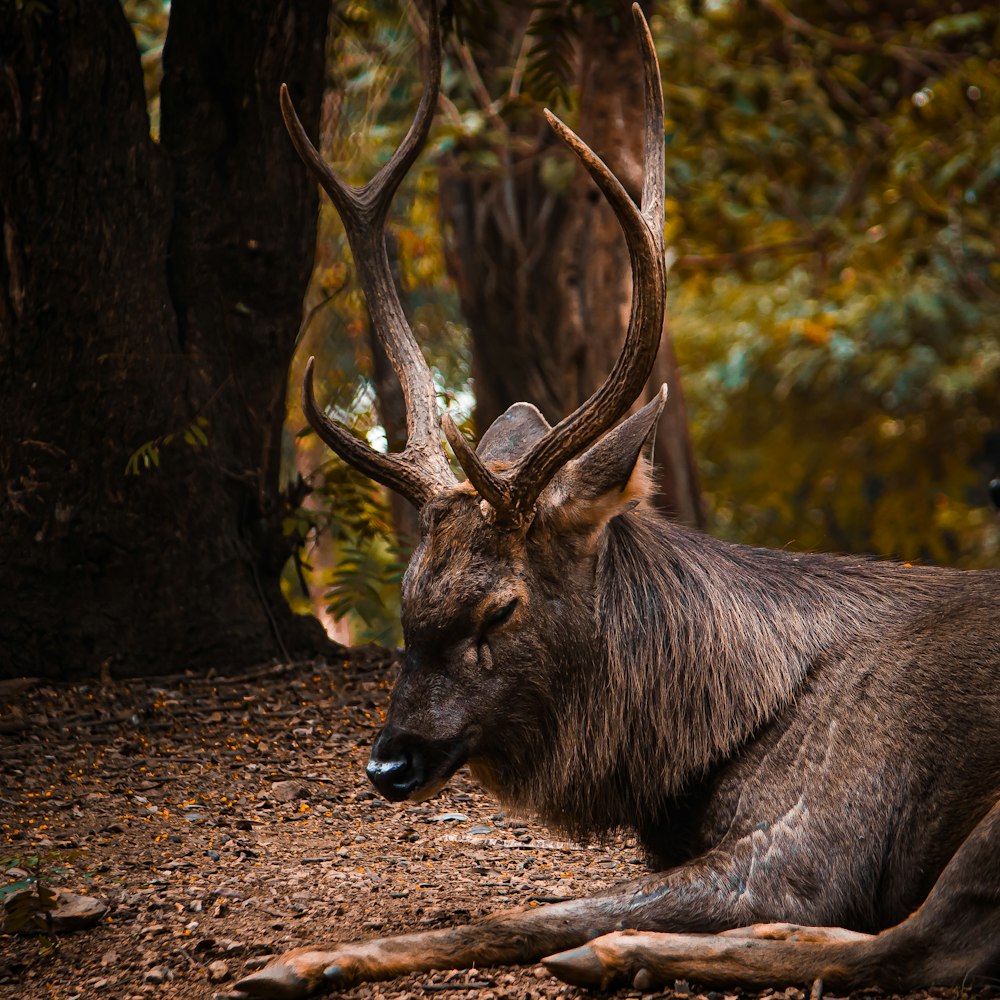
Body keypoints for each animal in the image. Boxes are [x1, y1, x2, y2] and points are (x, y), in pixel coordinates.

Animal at [232, 3, 1000, 996]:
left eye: (500, 607)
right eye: (406, 598)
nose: (388, 761)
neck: (702, 747)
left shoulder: (823, 835)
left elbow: (538, 908)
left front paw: (300, 959)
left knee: (925, 942)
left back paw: (615, 953)